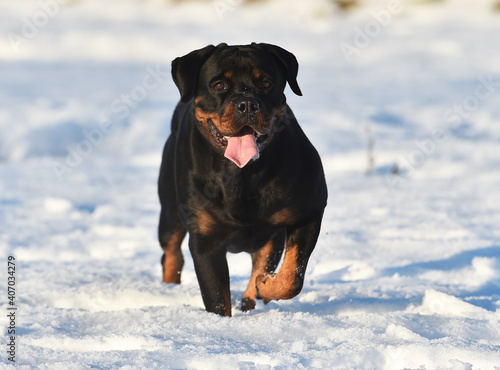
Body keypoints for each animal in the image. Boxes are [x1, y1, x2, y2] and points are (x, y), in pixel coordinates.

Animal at [157, 42, 328, 316]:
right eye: (218, 85)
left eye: (266, 83)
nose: (247, 103)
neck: (241, 175)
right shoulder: (205, 240)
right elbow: (217, 298)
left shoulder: (308, 212)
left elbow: (292, 275)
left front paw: (265, 286)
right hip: (170, 211)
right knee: (171, 251)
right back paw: (169, 288)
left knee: (264, 262)